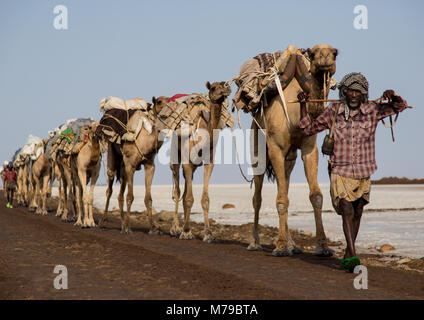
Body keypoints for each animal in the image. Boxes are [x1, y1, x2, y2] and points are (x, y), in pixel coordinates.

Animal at [100, 100, 167, 235]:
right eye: (160, 102)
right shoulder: (130, 165)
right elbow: (130, 196)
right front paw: (128, 228)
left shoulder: (149, 165)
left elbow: (148, 198)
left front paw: (153, 228)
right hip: (112, 152)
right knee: (110, 186)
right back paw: (104, 222)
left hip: (123, 167)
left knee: (120, 192)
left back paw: (121, 224)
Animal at [169, 81, 232, 241]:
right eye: (213, 87)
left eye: (223, 84)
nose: (227, 87)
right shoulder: (187, 160)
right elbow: (188, 198)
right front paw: (185, 232)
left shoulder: (209, 162)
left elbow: (205, 199)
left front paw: (208, 234)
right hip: (176, 155)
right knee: (178, 191)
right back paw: (175, 228)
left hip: (194, 166)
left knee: (185, 189)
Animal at [248, 43, 338, 256]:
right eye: (313, 54)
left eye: (335, 53)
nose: (325, 58)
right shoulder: (276, 148)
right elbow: (281, 199)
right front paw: (280, 247)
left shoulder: (308, 147)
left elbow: (316, 196)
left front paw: (323, 247)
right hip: (257, 149)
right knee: (258, 197)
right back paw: (255, 242)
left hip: (289, 159)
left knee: (285, 183)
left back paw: (292, 245)